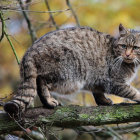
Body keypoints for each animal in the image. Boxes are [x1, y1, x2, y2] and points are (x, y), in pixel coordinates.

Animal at [3, 23, 140, 114]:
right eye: (123, 46)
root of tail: (30, 51)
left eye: (135, 48)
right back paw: (48, 100)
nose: (127, 55)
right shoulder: (115, 81)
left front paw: (103, 101)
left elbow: (98, 92)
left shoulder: (98, 80)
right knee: (41, 81)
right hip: (69, 73)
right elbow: (132, 91)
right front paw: (138, 96)